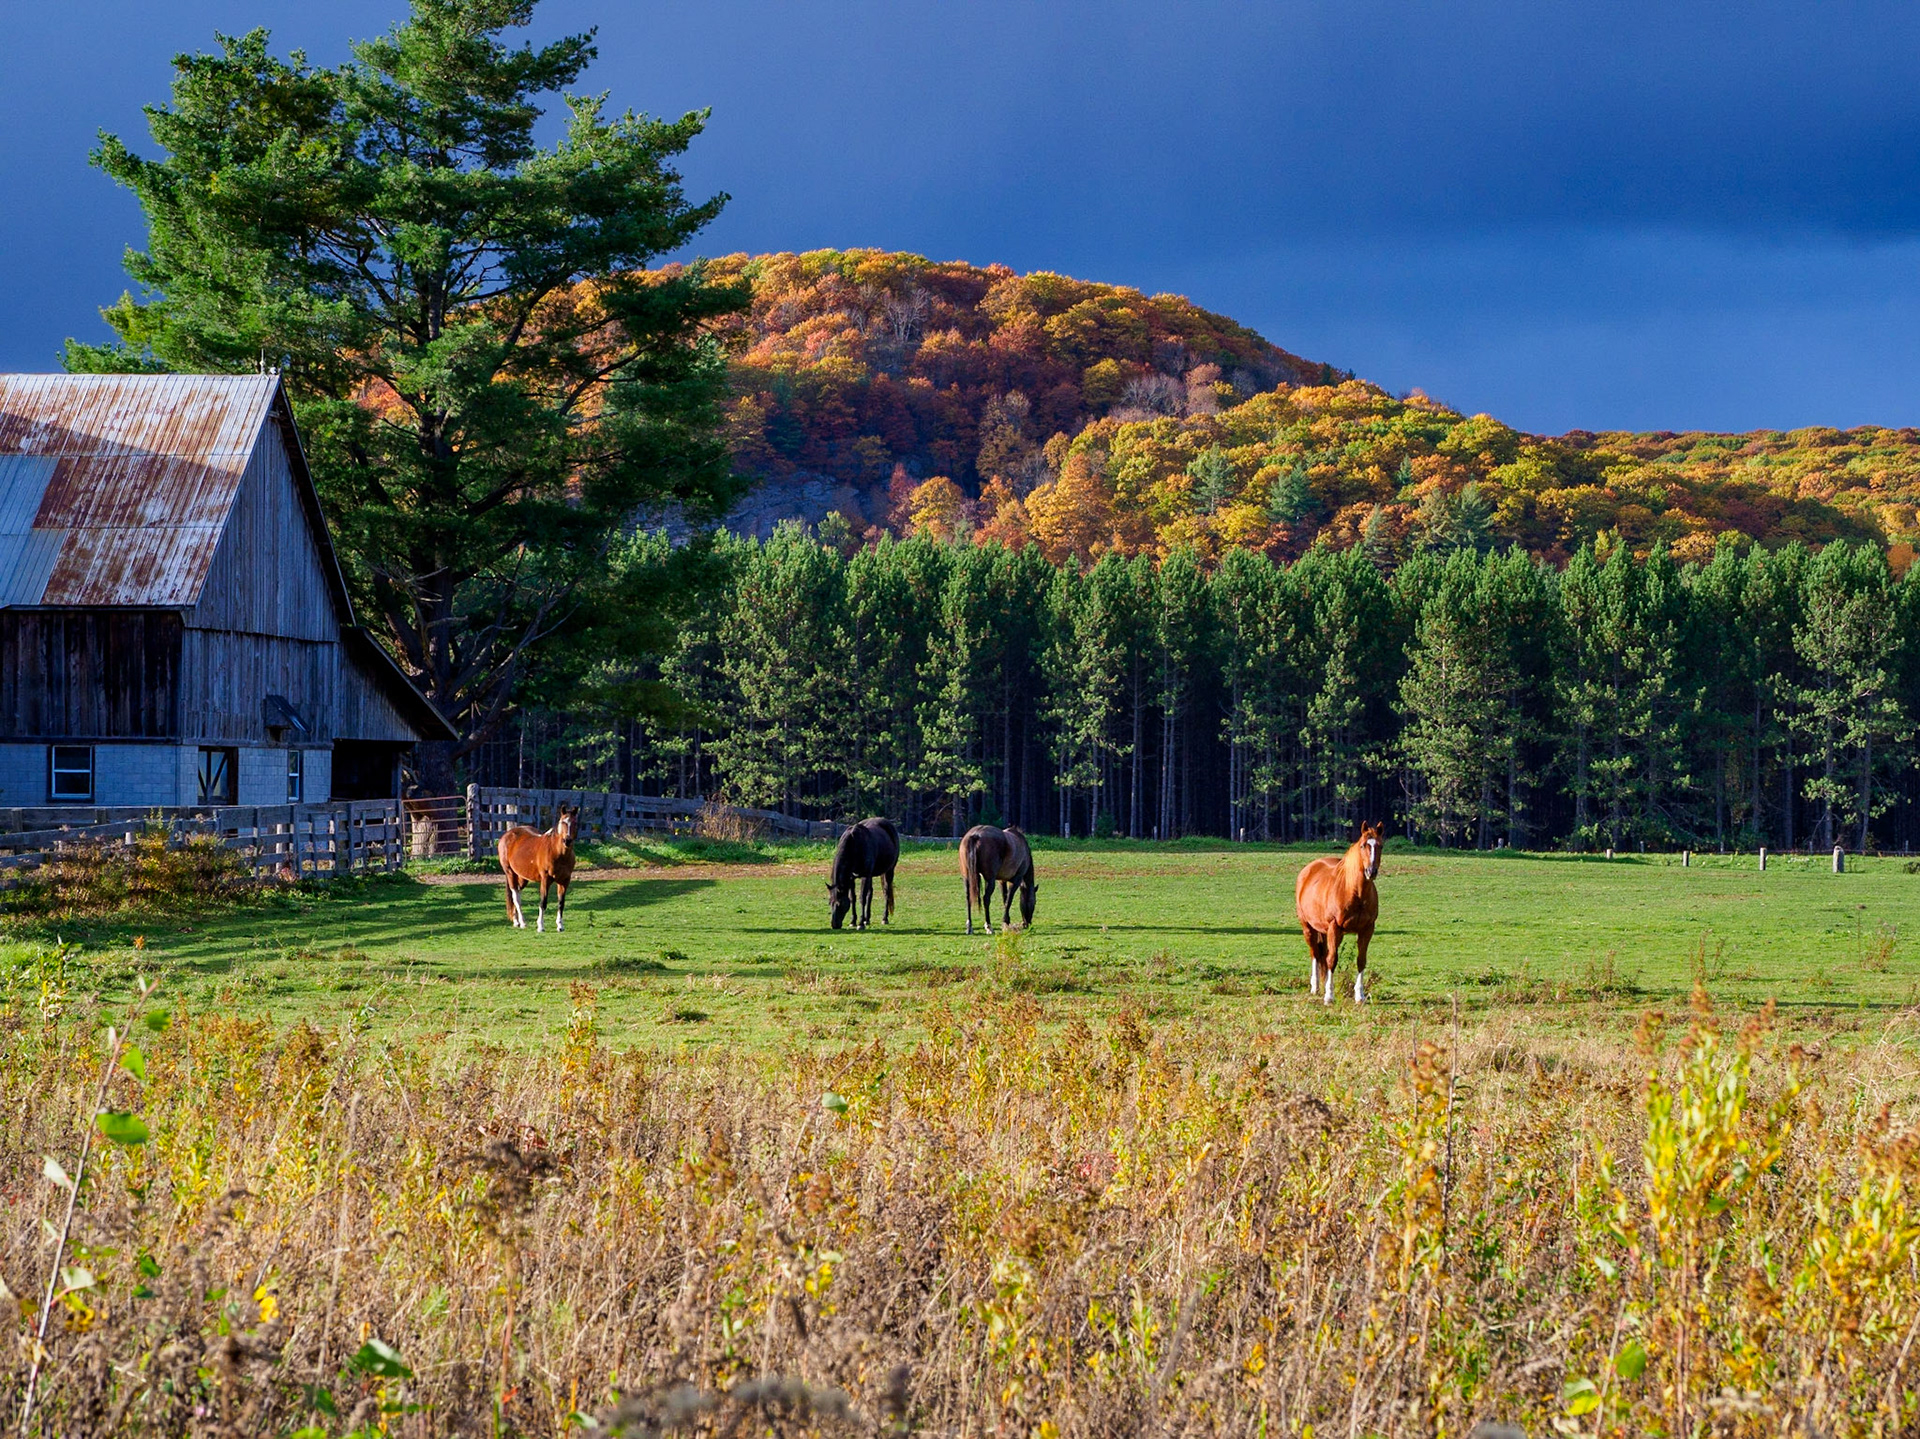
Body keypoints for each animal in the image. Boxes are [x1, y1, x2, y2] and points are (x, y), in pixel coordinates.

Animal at [498, 803, 578, 933]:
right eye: (563, 822)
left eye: (575, 822)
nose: (567, 840)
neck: (557, 852)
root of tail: (507, 835)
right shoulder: (545, 879)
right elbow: (543, 902)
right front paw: (540, 926)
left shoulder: (564, 881)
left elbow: (561, 903)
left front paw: (560, 925)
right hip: (510, 873)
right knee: (516, 897)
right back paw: (522, 922)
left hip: (522, 877)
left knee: (517, 894)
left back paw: (516, 921)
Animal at [1294, 821, 1383, 1003]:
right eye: (1363, 845)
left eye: (1381, 846)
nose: (1371, 871)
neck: (1354, 892)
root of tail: (1308, 869)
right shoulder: (1334, 927)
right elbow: (1332, 960)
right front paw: (1329, 996)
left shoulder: (1367, 929)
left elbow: (1361, 960)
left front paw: (1360, 995)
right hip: (1308, 928)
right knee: (1315, 953)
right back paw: (1315, 987)